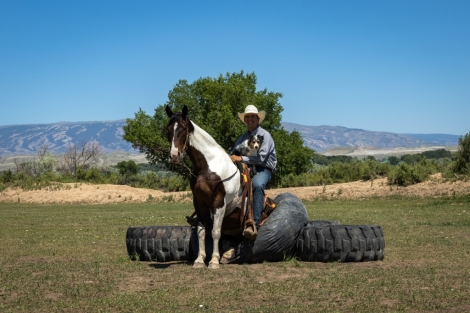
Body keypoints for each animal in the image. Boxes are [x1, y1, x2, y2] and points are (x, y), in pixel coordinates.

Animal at [165, 105, 244, 268]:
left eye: (183, 128)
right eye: (168, 129)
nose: (174, 156)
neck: (208, 167)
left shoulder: (219, 202)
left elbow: (215, 232)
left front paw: (213, 261)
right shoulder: (199, 202)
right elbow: (201, 231)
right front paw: (200, 260)